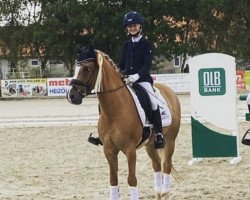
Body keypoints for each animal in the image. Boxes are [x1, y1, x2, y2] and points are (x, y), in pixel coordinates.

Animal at [66, 46, 180, 199]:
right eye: (76, 68)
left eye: (87, 68)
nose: (71, 96)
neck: (115, 111)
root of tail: (169, 90)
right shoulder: (109, 150)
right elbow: (113, 180)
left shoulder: (130, 150)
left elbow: (132, 180)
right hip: (150, 144)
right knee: (157, 166)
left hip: (170, 141)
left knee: (166, 166)